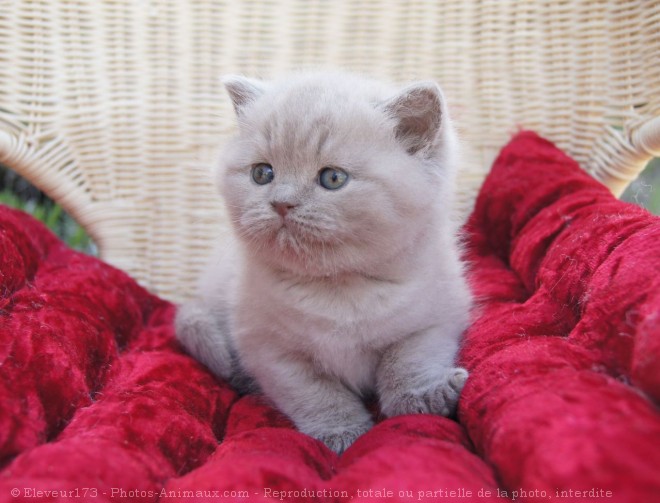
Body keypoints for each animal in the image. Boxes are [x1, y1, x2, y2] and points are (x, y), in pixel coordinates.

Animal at [177, 73, 470, 454]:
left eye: (333, 178)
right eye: (262, 174)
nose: (282, 203)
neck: (337, 290)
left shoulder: (437, 317)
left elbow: (408, 360)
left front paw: (423, 398)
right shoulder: (270, 350)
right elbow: (315, 393)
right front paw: (342, 433)